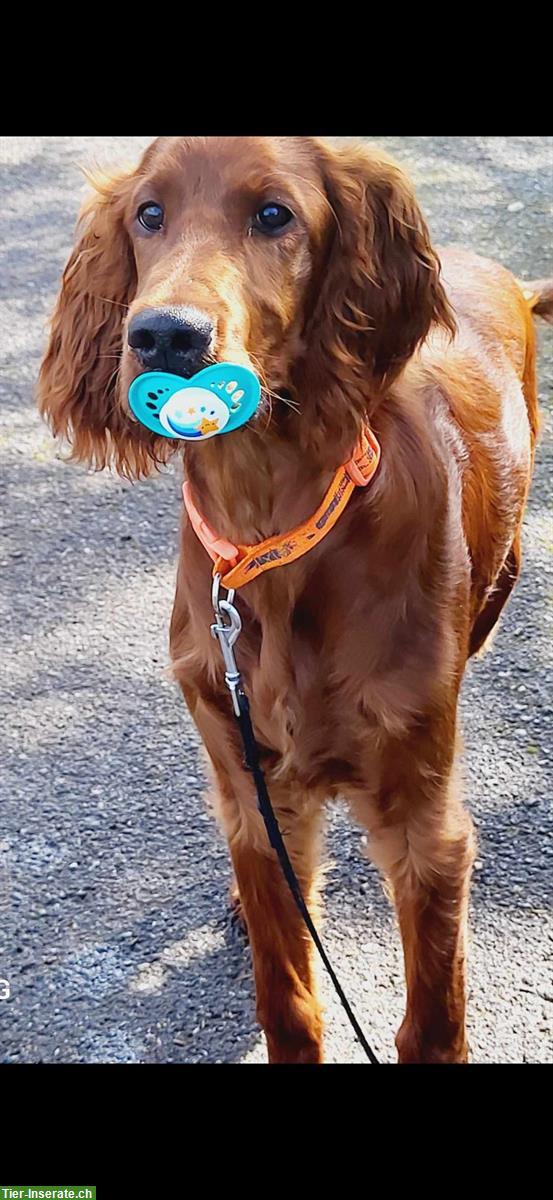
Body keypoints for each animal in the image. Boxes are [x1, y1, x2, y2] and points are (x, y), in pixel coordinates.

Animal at [36, 136, 549, 1065]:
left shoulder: (424, 820)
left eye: (274, 213)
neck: (270, 533)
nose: (164, 335)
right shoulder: (247, 781)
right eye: (149, 213)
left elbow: (431, 1021)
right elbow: (288, 998)